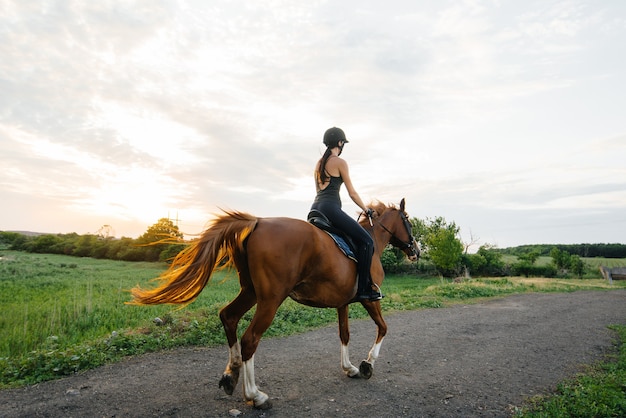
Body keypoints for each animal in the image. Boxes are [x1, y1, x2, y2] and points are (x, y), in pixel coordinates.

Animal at [127, 198, 420, 408]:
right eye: (408, 221)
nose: (415, 250)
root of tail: (257, 222)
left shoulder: (343, 303)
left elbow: (344, 334)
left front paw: (349, 368)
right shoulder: (370, 300)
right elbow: (383, 328)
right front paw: (368, 364)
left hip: (251, 292)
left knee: (228, 317)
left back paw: (230, 375)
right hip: (270, 299)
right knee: (250, 339)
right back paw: (255, 395)